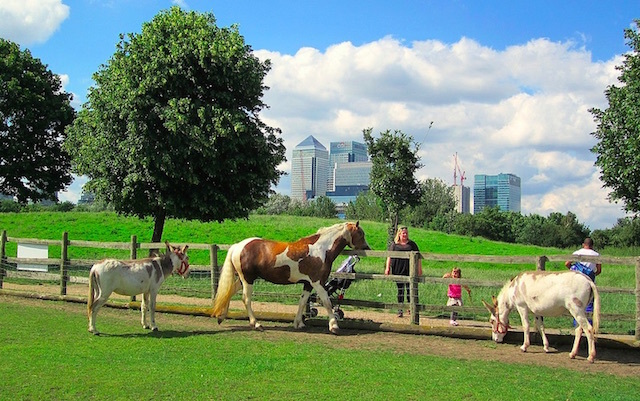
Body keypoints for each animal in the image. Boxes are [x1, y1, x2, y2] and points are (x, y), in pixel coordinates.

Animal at [211, 221, 370, 334]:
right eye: (361, 233)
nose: (367, 248)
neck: (321, 250)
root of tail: (238, 246)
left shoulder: (308, 284)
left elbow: (302, 302)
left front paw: (299, 324)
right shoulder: (318, 283)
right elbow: (327, 302)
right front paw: (334, 326)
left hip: (243, 279)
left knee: (229, 292)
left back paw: (221, 317)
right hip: (248, 279)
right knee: (246, 299)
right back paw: (256, 324)